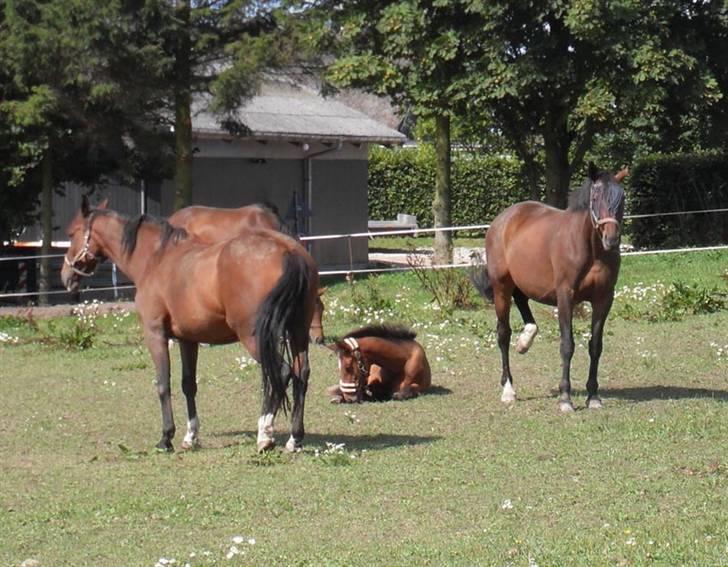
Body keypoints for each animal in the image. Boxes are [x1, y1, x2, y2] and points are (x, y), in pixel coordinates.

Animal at [472, 164, 624, 412]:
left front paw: (593, 396)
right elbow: (567, 345)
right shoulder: (565, 297)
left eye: (623, 198)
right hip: (501, 287)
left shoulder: (604, 299)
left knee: (522, 303)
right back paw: (508, 389)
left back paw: (525, 341)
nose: (611, 239)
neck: (591, 249)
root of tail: (503, 219)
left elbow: (595, 346)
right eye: (595, 197)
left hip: (521, 282)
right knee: (503, 334)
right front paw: (565, 398)